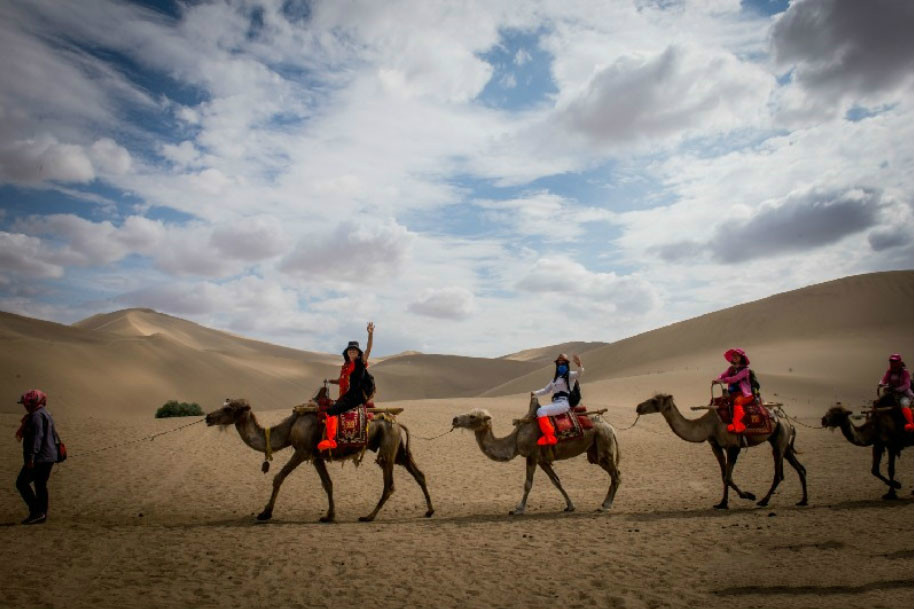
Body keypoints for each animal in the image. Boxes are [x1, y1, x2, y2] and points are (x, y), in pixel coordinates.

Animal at [205, 394, 432, 524]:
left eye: (228, 408)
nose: (208, 417)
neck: (289, 428)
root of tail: (397, 422)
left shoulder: (302, 451)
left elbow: (278, 477)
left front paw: (265, 513)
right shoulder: (315, 456)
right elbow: (328, 483)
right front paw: (329, 515)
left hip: (387, 447)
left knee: (389, 485)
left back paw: (368, 516)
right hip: (398, 450)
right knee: (419, 474)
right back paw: (429, 510)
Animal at [450, 396, 620, 516]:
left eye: (472, 416)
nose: (455, 419)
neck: (515, 439)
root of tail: (610, 427)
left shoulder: (531, 455)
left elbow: (528, 484)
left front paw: (518, 509)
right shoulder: (542, 460)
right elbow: (556, 481)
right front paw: (570, 505)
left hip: (603, 445)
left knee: (616, 475)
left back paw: (606, 506)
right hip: (595, 451)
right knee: (614, 474)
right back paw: (604, 504)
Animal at [636, 392, 804, 506]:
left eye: (654, 400)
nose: (638, 407)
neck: (708, 425)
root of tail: (785, 419)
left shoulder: (733, 446)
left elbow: (728, 477)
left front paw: (748, 496)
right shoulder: (715, 446)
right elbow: (724, 476)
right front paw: (723, 503)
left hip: (779, 439)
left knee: (779, 474)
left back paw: (763, 501)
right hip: (781, 440)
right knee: (799, 467)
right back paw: (803, 501)